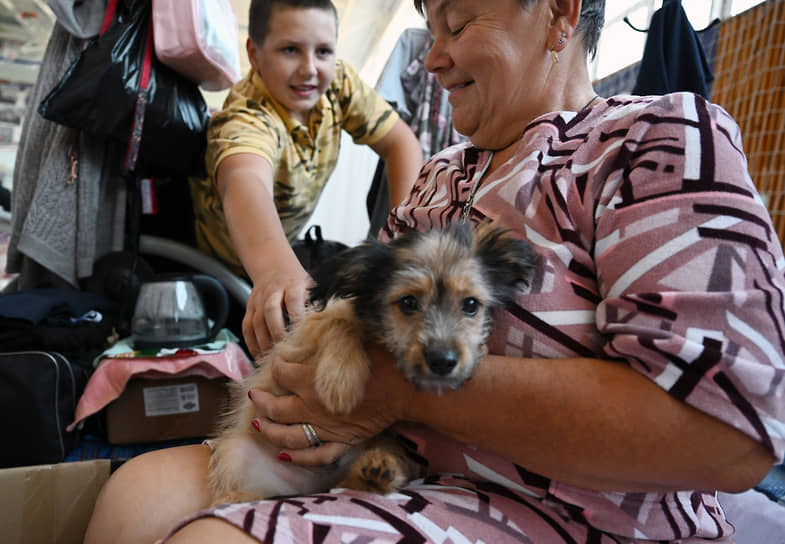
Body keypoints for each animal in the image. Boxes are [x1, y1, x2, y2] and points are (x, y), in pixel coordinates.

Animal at [205, 221, 536, 506]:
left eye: (470, 305)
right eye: (408, 303)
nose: (444, 361)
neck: (379, 335)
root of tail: (312, 486)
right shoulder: (302, 340)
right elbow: (340, 323)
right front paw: (340, 381)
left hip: (391, 446)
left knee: (349, 482)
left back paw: (376, 471)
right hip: (237, 454)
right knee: (238, 490)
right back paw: (231, 498)